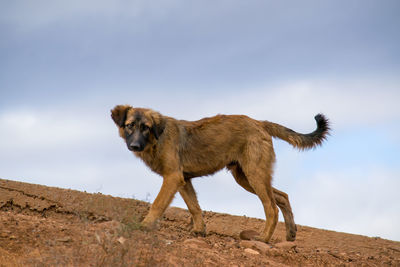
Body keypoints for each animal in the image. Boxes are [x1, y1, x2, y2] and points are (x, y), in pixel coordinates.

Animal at [110, 105, 328, 244]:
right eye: (130, 125)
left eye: (145, 127)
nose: (134, 146)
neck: (157, 137)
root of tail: (259, 122)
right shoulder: (184, 180)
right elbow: (194, 207)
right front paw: (199, 230)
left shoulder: (172, 177)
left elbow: (157, 204)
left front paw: (144, 225)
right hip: (245, 177)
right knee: (282, 196)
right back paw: (290, 234)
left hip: (254, 175)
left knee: (271, 208)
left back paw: (263, 239)